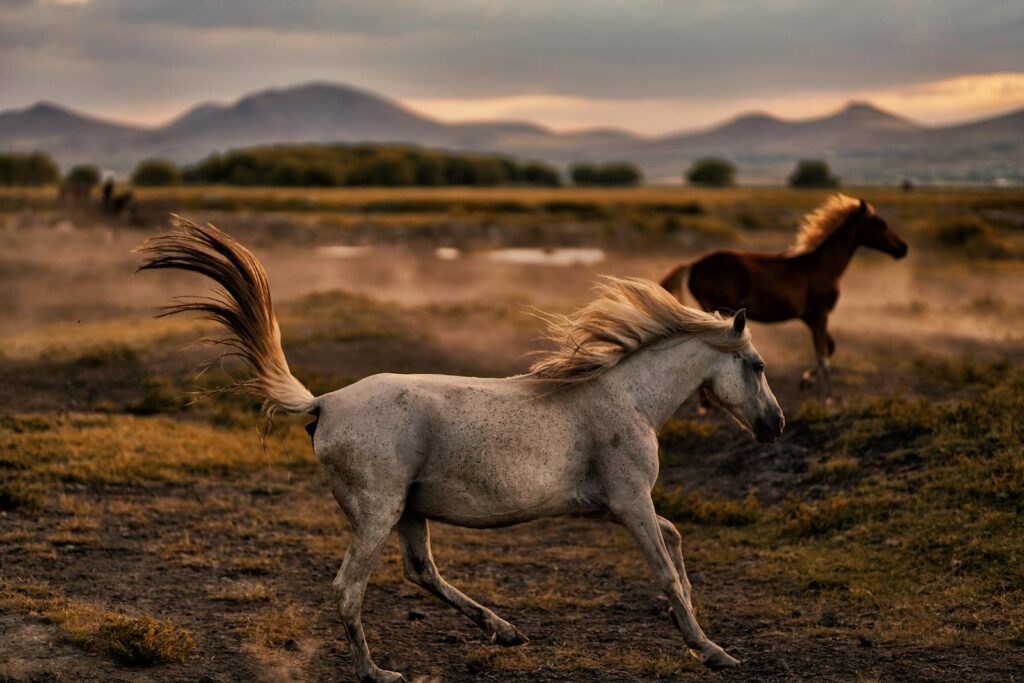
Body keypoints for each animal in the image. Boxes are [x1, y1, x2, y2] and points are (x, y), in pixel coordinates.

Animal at [138, 217, 785, 683]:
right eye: (756, 365)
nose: (775, 425)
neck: (624, 397)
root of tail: (324, 403)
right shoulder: (629, 501)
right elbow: (664, 569)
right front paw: (713, 651)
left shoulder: (615, 504)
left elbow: (673, 543)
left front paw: (693, 627)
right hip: (378, 512)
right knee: (349, 589)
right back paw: (379, 673)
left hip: (409, 512)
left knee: (422, 572)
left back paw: (503, 630)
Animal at [660, 194, 907, 395]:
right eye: (880, 223)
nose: (902, 248)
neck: (822, 265)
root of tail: (695, 265)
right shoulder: (819, 314)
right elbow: (823, 355)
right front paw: (828, 397)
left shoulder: (809, 317)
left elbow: (829, 347)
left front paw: (806, 382)